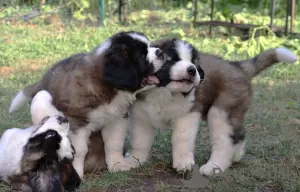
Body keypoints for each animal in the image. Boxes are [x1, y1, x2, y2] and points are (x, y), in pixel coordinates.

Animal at [8, 30, 170, 178]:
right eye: (142, 55)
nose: (161, 52)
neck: (107, 86)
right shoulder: (76, 122)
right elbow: (79, 150)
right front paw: (76, 173)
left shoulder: (116, 117)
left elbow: (114, 143)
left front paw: (118, 165)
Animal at [125, 39, 205, 171]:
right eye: (172, 60)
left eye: (194, 62)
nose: (192, 70)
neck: (165, 92)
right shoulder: (141, 115)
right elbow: (140, 139)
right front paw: (135, 160)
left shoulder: (187, 113)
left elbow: (182, 138)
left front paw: (183, 162)